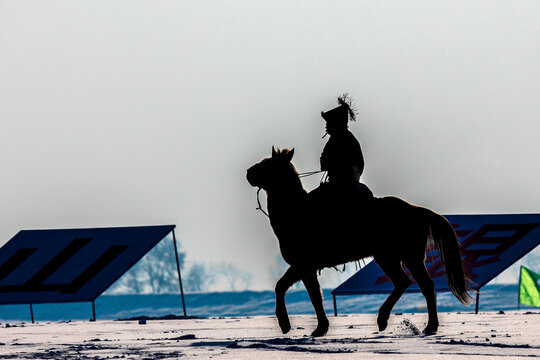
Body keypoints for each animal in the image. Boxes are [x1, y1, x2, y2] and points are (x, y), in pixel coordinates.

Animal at [247, 146, 470, 338]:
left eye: (268, 163)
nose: (249, 172)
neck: (296, 212)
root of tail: (418, 210)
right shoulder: (307, 269)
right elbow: (315, 297)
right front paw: (320, 329)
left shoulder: (302, 265)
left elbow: (281, 287)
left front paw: (285, 324)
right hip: (396, 258)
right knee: (411, 284)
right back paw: (399, 322)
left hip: (400, 258)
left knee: (418, 285)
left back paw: (414, 324)